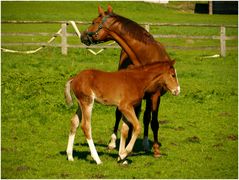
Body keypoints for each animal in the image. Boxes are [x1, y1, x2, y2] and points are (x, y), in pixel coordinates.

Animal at [81, 4, 173, 158]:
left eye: (94, 22)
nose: (82, 36)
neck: (145, 57)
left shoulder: (155, 96)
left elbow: (153, 121)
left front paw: (156, 150)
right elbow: (127, 119)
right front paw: (124, 146)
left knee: (146, 117)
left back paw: (145, 143)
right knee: (120, 115)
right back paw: (114, 143)